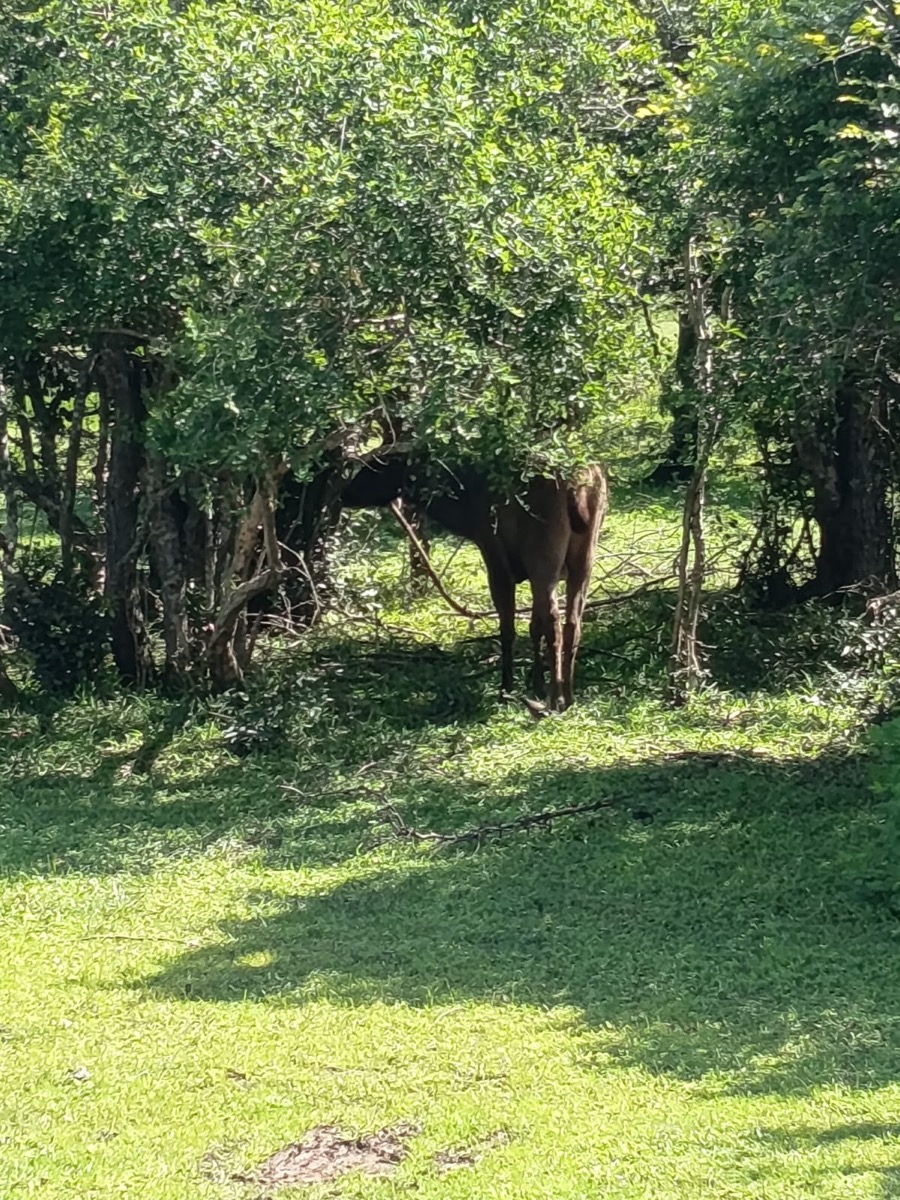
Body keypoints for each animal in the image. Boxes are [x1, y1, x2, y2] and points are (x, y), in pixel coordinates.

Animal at [341, 456, 608, 710]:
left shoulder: (494, 555)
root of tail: (576, 485)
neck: (463, 508)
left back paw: (556, 699)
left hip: (543, 555)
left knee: (555, 623)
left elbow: (509, 628)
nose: (346, 493)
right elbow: (534, 626)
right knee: (572, 622)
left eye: (377, 465)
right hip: (584, 557)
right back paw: (569, 696)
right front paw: (535, 686)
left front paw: (507, 689)